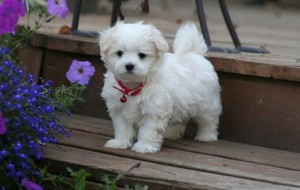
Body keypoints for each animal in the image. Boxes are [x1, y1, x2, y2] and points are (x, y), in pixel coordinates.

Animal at [99, 21, 221, 154]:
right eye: (120, 53)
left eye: (142, 55)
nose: (129, 65)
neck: (133, 87)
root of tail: (194, 53)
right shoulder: (119, 109)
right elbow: (122, 128)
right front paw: (120, 142)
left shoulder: (154, 110)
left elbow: (148, 130)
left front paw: (144, 146)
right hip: (182, 103)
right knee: (180, 118)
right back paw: (172, 134)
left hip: (206, 104)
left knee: (209, 120)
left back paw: (206, 136)